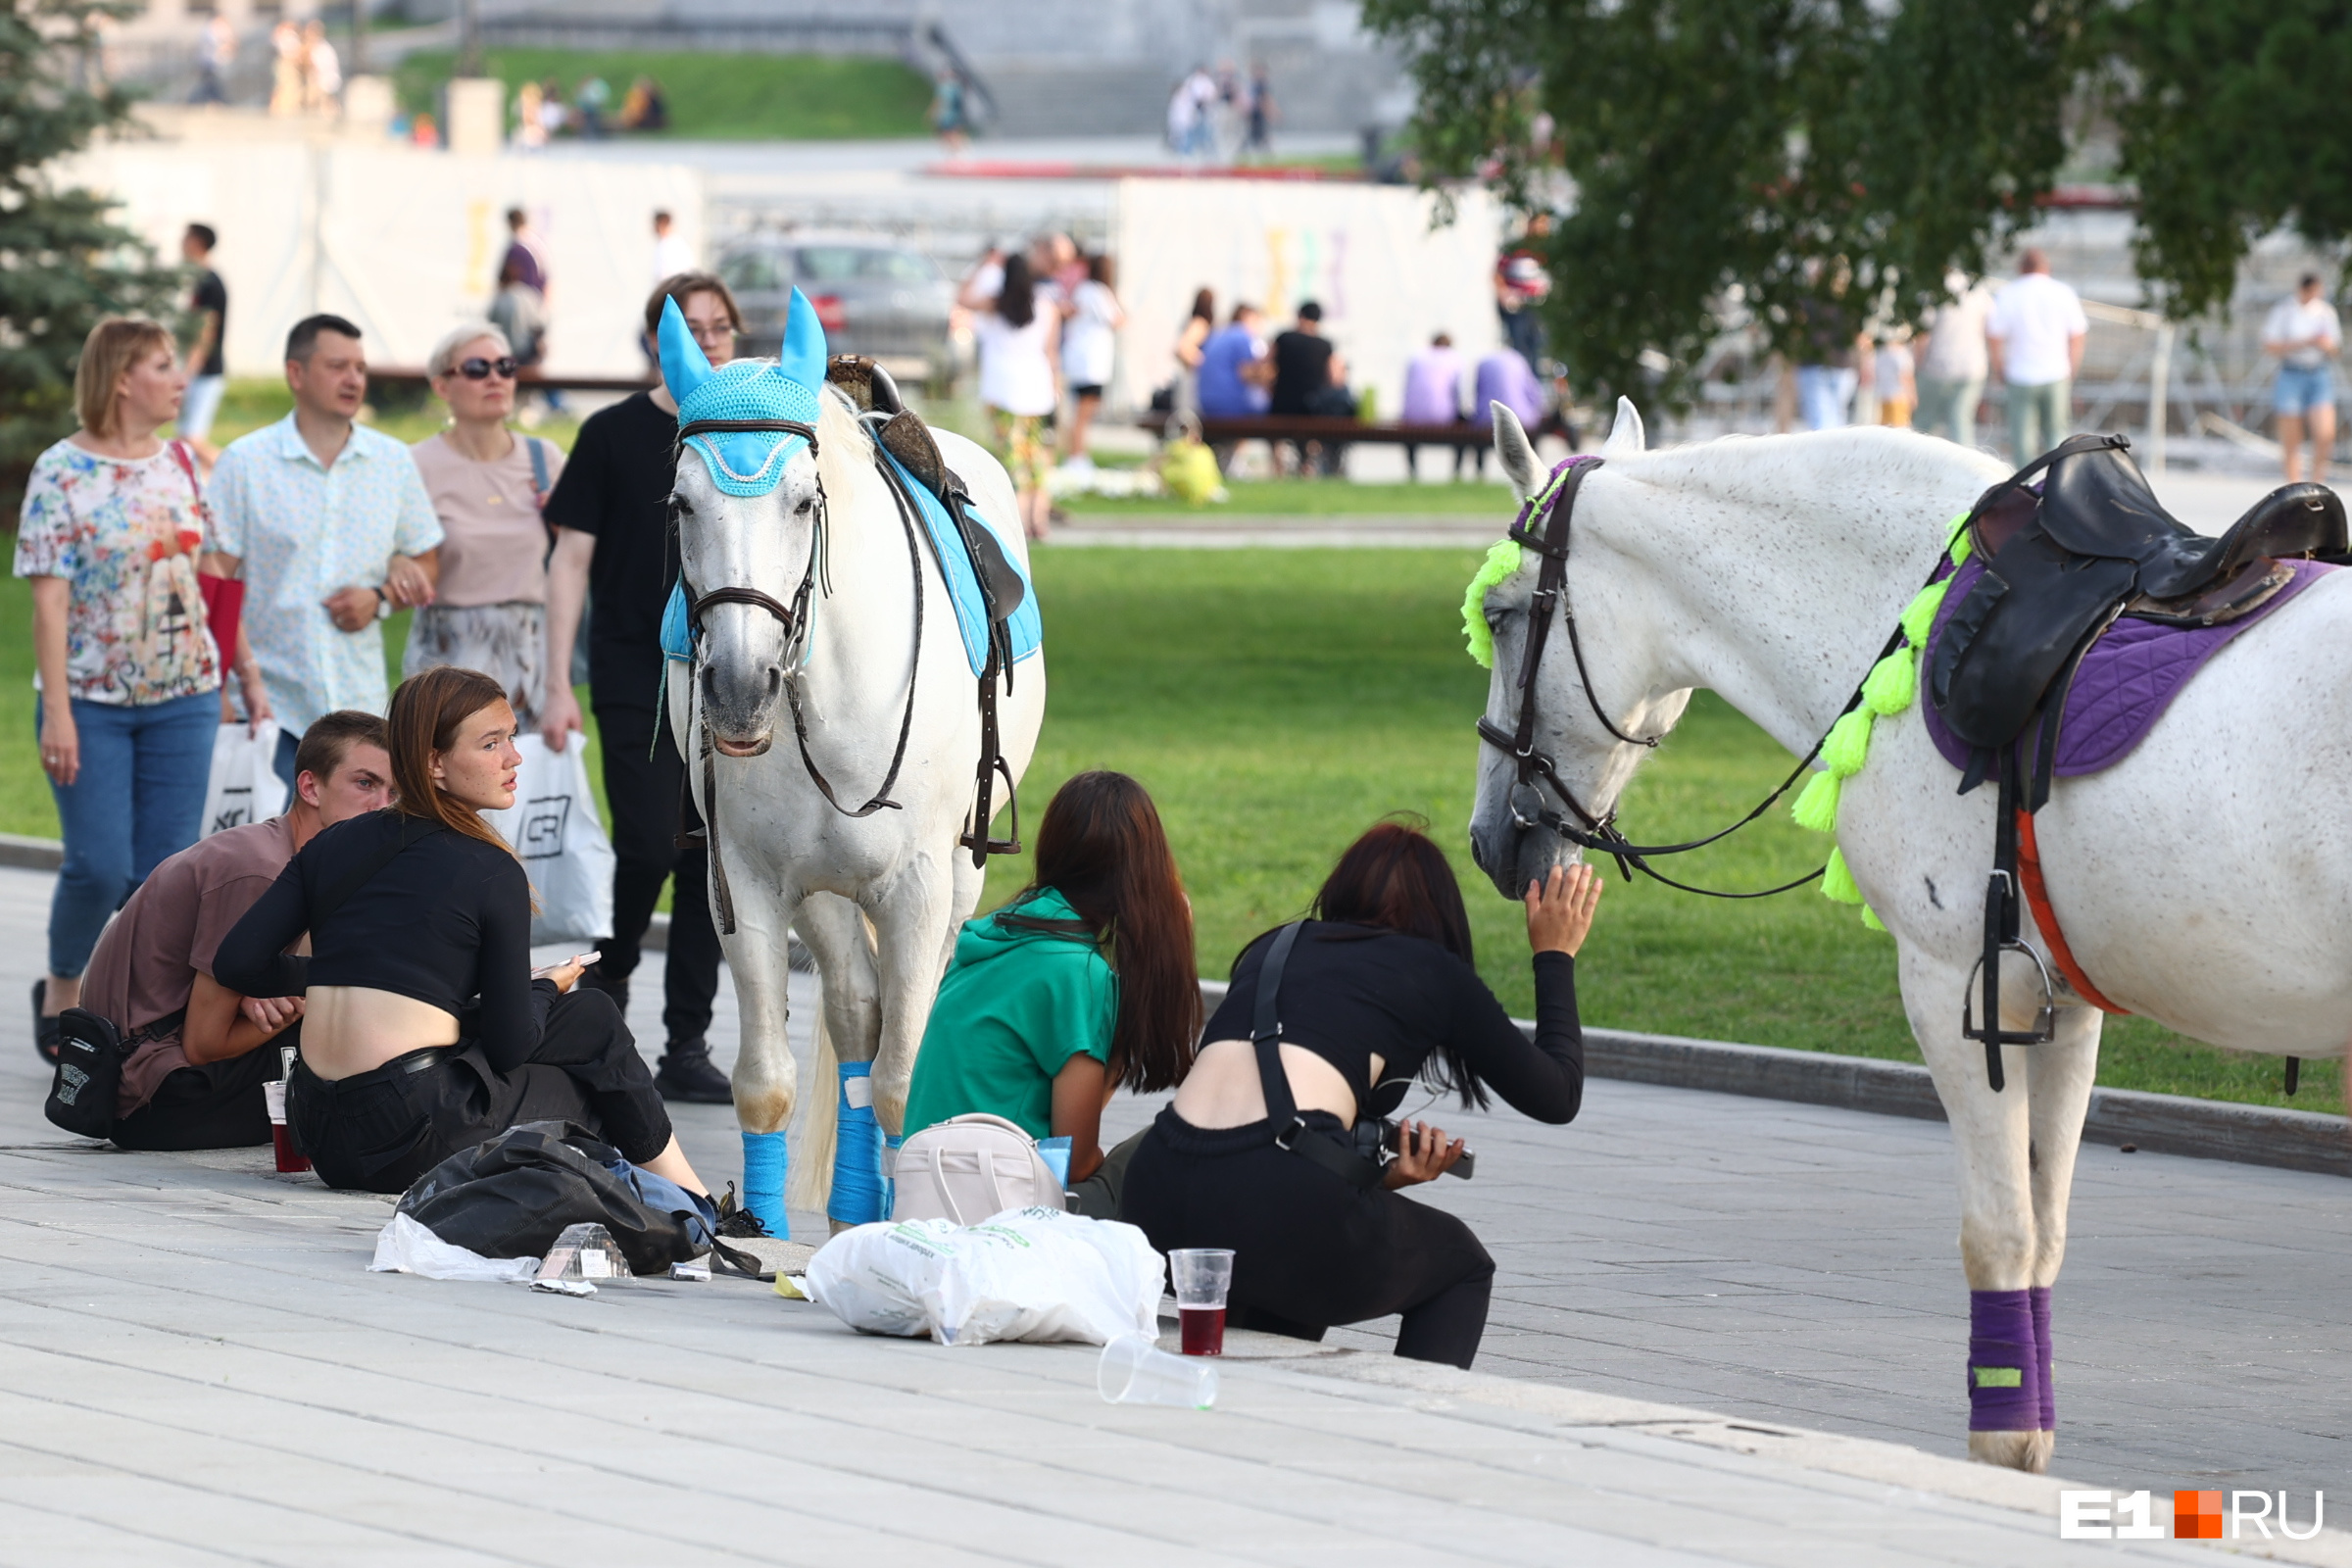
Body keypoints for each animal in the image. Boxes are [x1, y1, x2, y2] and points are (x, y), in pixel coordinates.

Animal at [649, 287, 1044, 1231]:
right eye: (681, 504)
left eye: (801, 501)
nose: (739, 688)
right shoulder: (745, 882)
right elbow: (767, 1082)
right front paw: (762, 1228)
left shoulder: (918, 884)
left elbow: (905, 1079)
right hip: (823, 888)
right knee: (853, 1009)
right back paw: (851, 1206)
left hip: (955, 877)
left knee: (896, 1019)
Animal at [1467, 402, 2352, 1476]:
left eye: (1502, 614)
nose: (1489, 836)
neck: (1910, 615)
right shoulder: (2059, 1005)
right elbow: (2043, 1230)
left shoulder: (1958, 985)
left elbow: (1998, 1236)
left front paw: (2002, 1441)